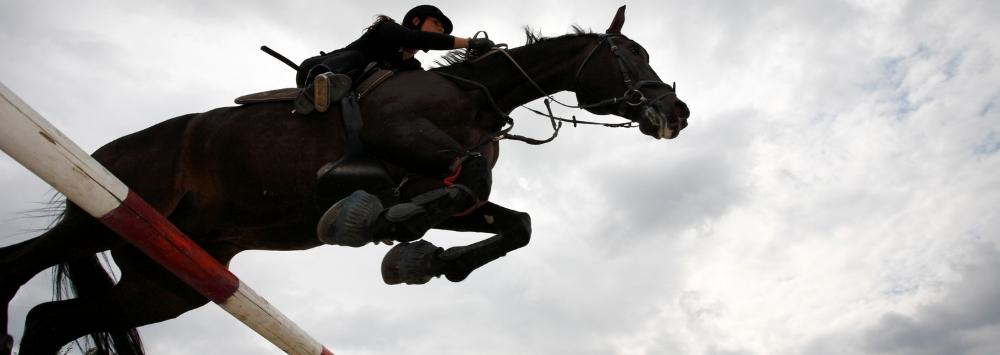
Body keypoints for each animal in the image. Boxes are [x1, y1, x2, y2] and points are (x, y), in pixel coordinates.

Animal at [0, 6, 688, 354]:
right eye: (630, 56)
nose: (677, 113)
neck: (478, 94)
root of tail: (106, 151)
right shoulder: (404, 139)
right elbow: (468, 181)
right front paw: (379, 224)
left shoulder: (438, 188)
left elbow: (510, 221)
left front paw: (423, 259)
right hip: (104, 215)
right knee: (17, 269)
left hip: (166, 280)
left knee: (53, 322)